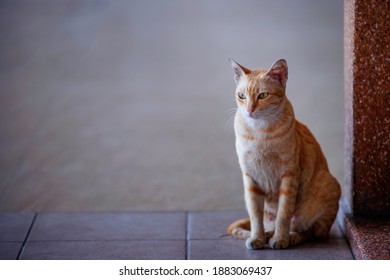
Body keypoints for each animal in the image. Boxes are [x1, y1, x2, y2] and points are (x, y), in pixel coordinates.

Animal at [227, 58, 340, 249]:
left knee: (309, 232)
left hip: (329, 187)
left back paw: (289, 237)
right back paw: (267, 234)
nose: (249, 110)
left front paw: (280, 239)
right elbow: (255, 216)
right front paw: (257, 238)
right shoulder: (250, 178)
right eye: (242, 96)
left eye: (263, 96)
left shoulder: (289, 176)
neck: (259, 132)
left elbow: (283, 214)